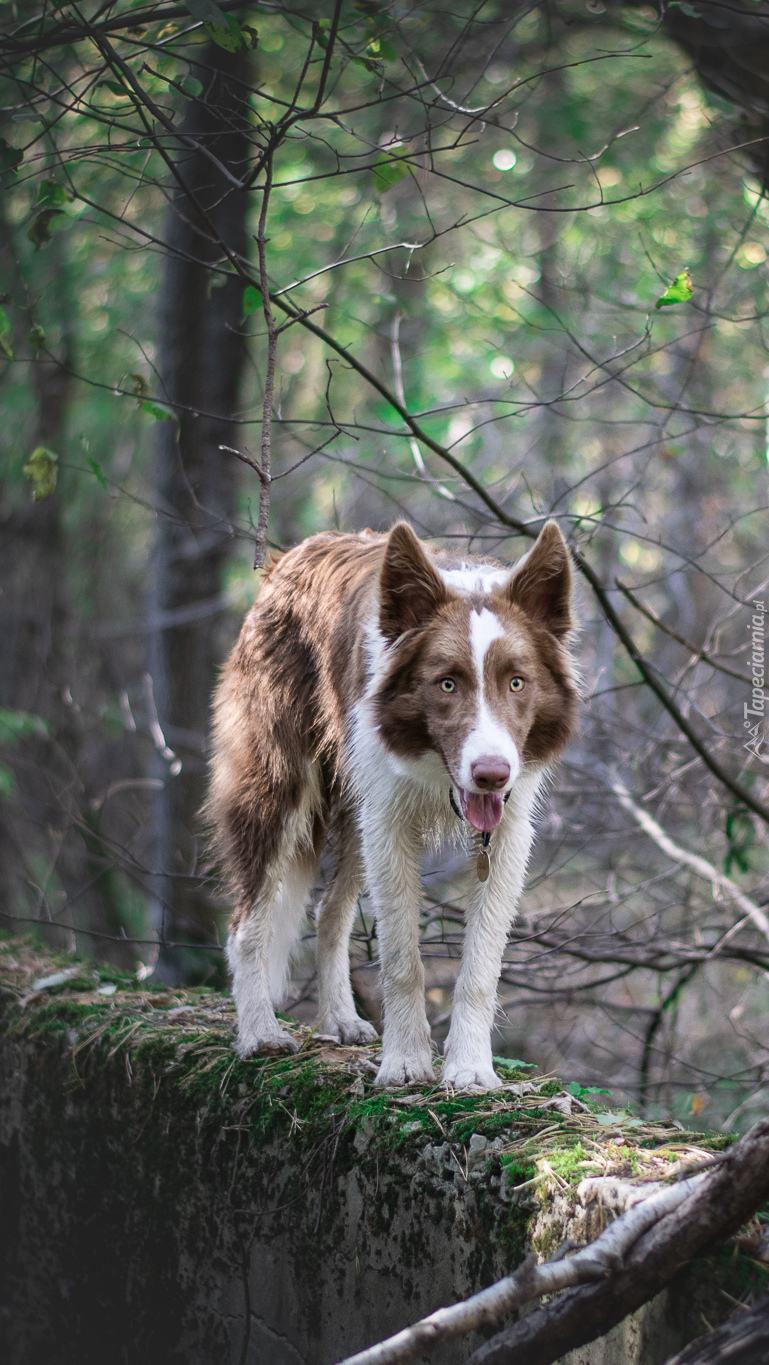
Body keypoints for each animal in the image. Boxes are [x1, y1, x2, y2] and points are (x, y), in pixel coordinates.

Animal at [207, 518, 581, 1086]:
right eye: (446, 684)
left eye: (517, 682)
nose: (491, 775)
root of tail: (287, 559)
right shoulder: (389, 822)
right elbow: (403, 958)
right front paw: (405, 1062)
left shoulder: (507, 831)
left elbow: (481, 966)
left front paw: (470, 1068)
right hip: (278, 786)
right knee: (247, 921)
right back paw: (259, 1032)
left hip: (355, 813)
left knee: (329, 912)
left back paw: (338, 1018)